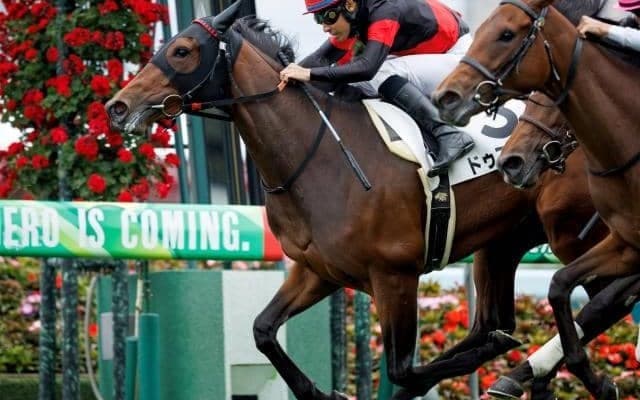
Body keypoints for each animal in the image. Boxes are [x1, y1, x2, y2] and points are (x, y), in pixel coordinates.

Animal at [105, 2, 608, 399]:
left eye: (182, 51)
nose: (117, 106)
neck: (318, 156)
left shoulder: (394, 275)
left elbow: (403, 369)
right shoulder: (318, 270)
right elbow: (263, 330)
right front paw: (317, 391)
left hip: (577, 233)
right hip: (504, 240)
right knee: (500, 317)